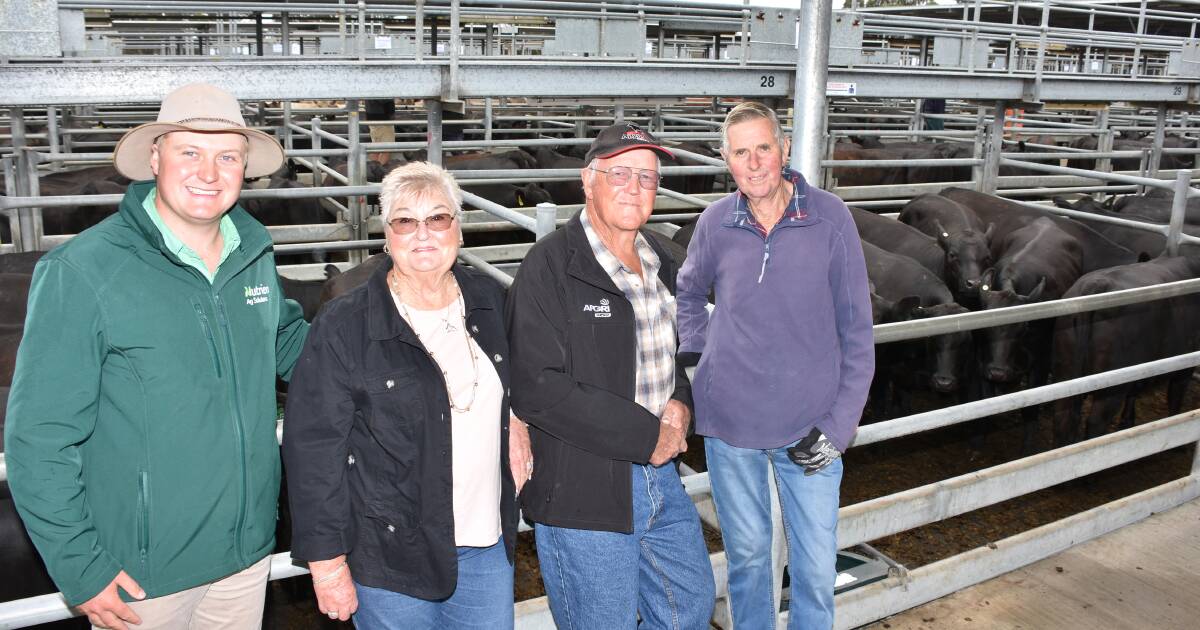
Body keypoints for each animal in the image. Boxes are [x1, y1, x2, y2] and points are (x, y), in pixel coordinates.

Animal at [1051, 253, 1200, 444]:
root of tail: (1096, 285)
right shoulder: (1185, 365)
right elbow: (1175, 401)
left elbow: (1134, 394)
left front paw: (1127, 421)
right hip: (1112, 385)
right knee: (1096, 421)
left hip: (1065, 371)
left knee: (1062, 417)